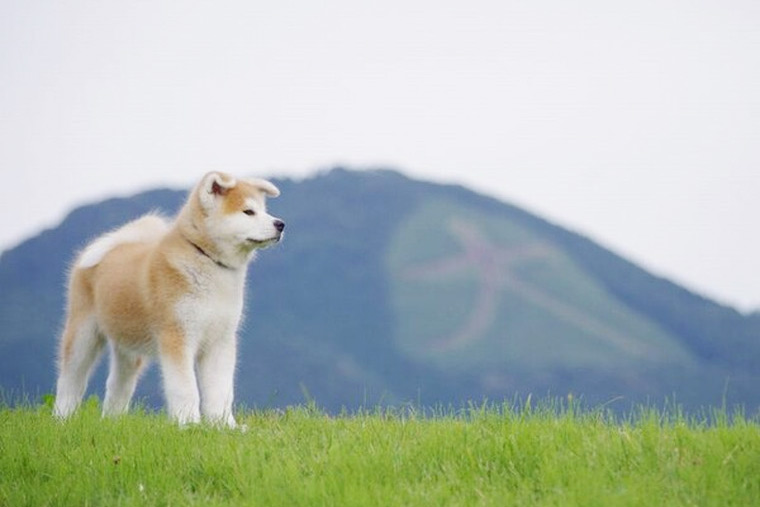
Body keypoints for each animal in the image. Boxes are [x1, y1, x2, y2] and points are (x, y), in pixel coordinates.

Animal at [53, 173, 284, 426]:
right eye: (248, 212)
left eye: (264, 210)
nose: (280, 224)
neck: (206, 258)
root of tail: (118, 242)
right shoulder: (177, 336)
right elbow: (186, 389)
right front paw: (189, 424)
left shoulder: (220, 341)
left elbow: (221, 391)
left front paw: (224, 425)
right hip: (83, 334)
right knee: (70, 381)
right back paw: (62, 419)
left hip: (129, 349)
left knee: (117, 385)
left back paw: (113, 423)